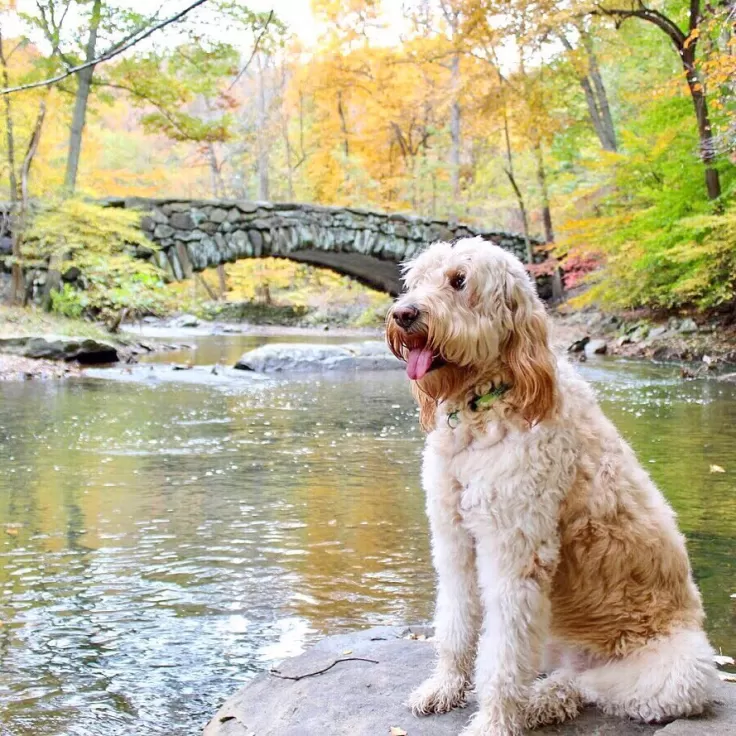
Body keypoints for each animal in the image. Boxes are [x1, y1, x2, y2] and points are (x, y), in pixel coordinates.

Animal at [386, 239, 720, 732]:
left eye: (459, 280)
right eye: (415, 280)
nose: (403, 313)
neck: (486, 408)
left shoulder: (515, 551)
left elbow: (501, 659)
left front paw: (493, 721)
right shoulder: (453, 539)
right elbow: (455, 624)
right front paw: (444, 687)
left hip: (682, 669)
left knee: (588, 687)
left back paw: (538, 703)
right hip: (549, 636)